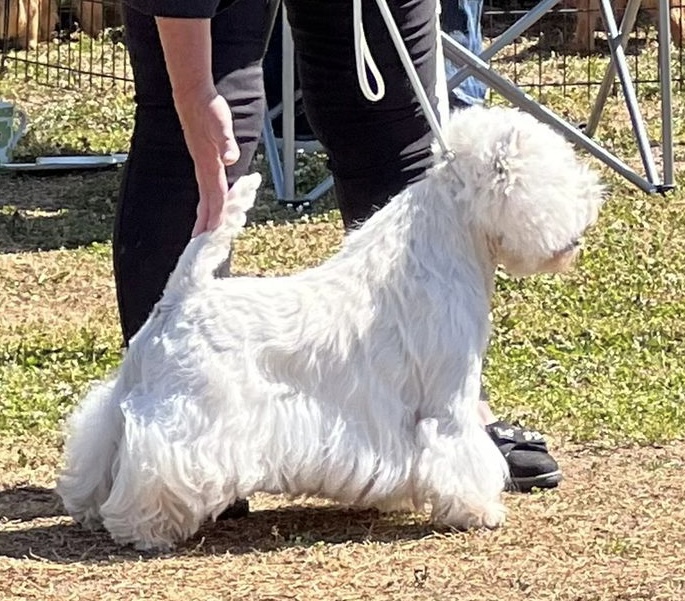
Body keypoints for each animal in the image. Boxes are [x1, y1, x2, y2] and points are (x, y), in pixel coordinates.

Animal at [58, 106, 604, 548]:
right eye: (556, 173)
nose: (593, 197)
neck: (446, 248)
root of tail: (182, 295)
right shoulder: (449, 398)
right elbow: (459, 452)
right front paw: (479, 510)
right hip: (189, 414)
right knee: (157, 468)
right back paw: (144, 529)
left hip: (129, 393)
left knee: (101, 442)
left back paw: (89, 507)